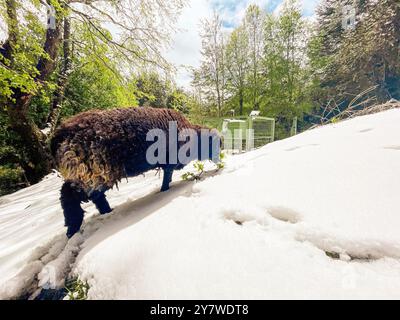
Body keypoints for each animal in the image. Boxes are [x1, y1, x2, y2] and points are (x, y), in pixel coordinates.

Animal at [51, 107, 220, 238]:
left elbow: (168, 176)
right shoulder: (169, 161)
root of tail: (61, 132)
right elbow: (167, 178)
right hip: (92, 168)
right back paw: (73, 228)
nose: (220, 161)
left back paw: (106, 212)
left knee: (94, 196)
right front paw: (164, 192)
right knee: (69, 194)